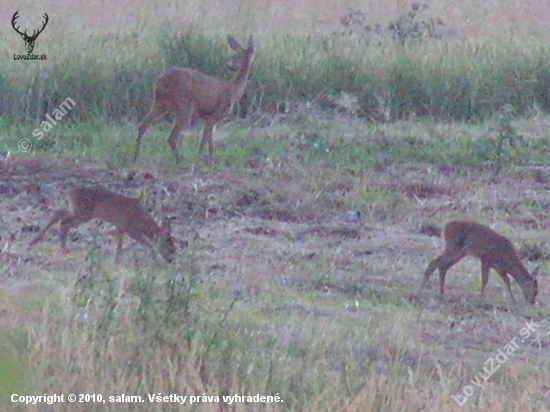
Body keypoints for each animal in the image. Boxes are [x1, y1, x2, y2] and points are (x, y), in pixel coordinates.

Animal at [27, 187, 177, 264]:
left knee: (60, 217)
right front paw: (155, 257)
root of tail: (70, 192)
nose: (171, 260)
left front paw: (116, 260)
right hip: (83, 213)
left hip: (80, 212)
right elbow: (147, 243)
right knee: (62, 219)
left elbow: (119, 244)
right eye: (169, 245)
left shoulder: (120, 226)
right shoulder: (129, 228)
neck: (141, 218)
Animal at [134, 34, 256, 166]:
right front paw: (198, 164)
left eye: (237, 56)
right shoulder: (213, 116)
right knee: (172, 137)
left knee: (143, 125)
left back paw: (135, 158)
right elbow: (203, 143)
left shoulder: (210, 119)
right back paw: (180, 162)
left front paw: (210, 164)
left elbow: (211, 145)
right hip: (184, 105)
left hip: (160, 103)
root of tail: (159, 82)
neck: (233, 91)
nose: (229, 66)